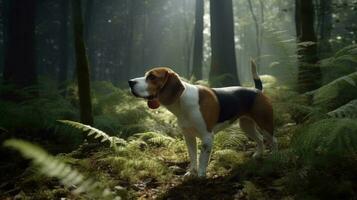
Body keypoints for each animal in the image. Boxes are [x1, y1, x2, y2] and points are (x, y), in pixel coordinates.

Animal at [128, 60, 276, 177]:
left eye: (152, 77)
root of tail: (257, 90)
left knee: (273, 140)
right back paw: (258, 155)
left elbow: (203, 158)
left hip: (265, 123)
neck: (182, 101)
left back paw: (276, 157)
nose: (130, 82)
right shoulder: (189, 136)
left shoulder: (207, 137)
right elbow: (193, 156)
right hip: (246, 125)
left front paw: (201, 175)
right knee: (260, 139)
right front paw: (191, 173)